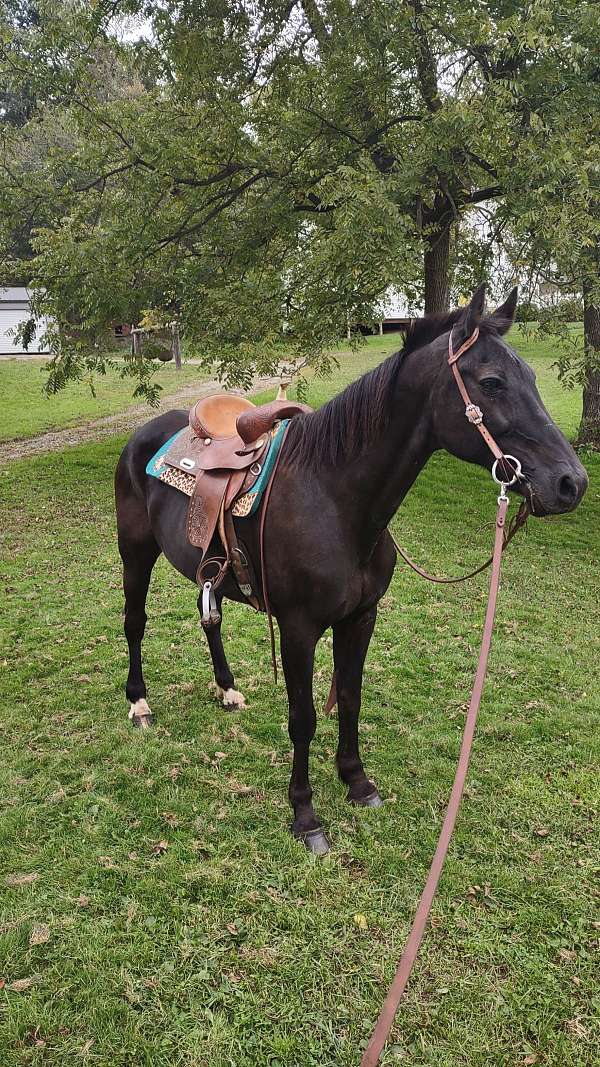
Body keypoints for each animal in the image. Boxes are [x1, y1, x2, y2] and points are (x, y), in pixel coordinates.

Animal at [115, 285, 588, 854]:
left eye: (533, 379)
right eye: (492, 382)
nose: (571, 483)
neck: (336, 499)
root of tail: (144, 432)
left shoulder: (361, 618)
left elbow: (350, 697)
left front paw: (357, 783)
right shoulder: (298, 629)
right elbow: (302, 719)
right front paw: (305, 814)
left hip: (210, 570)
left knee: (210, 619)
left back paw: (227, 689)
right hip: (135, 553)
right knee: (134, 622)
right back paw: (139, 704)